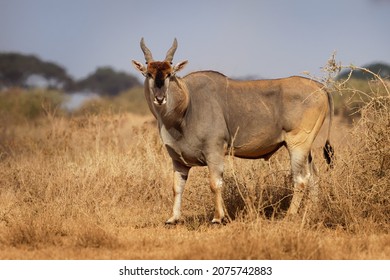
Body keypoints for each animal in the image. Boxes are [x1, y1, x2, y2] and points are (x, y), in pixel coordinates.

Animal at [133, 37, 334, 225]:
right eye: (148, 74)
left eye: (170, 74)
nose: (160, 98)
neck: (187, 104)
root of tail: (321, 88)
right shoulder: (178, 161)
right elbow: (177, 188)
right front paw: (173, 218)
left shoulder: (214, 152)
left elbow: (215, 184)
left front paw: (218, 217)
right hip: (307, 149)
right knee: (313, 176)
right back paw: (313, 210)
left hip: (297, 145)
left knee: (300, 179)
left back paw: (290, 216)